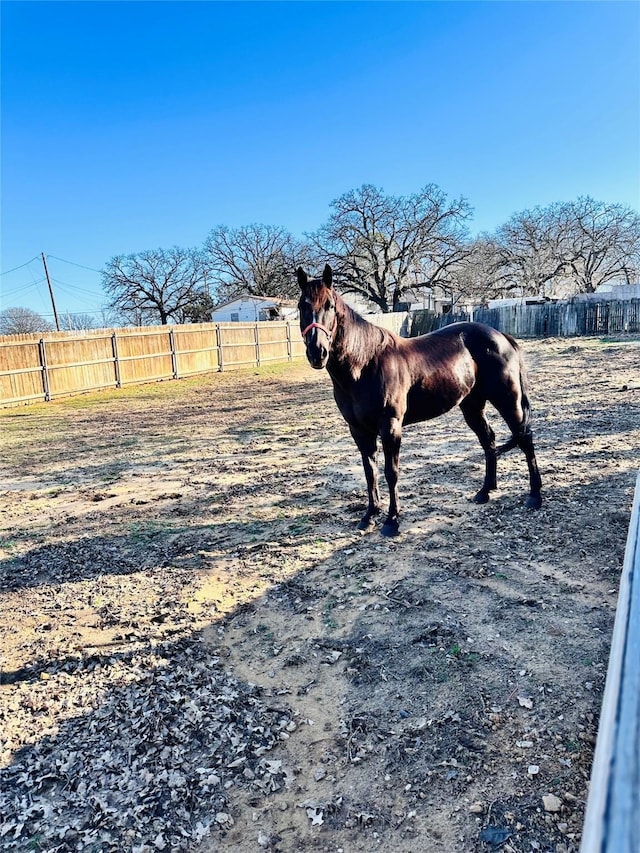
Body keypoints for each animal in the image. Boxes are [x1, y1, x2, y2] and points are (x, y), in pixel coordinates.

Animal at [298, 262, 544, 536]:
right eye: (302, 306)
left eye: (330, 305)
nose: (317, 352)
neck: (365, 364)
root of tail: (502, 337)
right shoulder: (359, 430)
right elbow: (370, 472)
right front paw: (369, 516)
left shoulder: (390, 426)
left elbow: (390, 472)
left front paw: (392, 521)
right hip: (472, 406)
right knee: (488, 441)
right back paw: (484, 491)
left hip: (507, 400)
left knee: (525, 438)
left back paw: (534, 496)